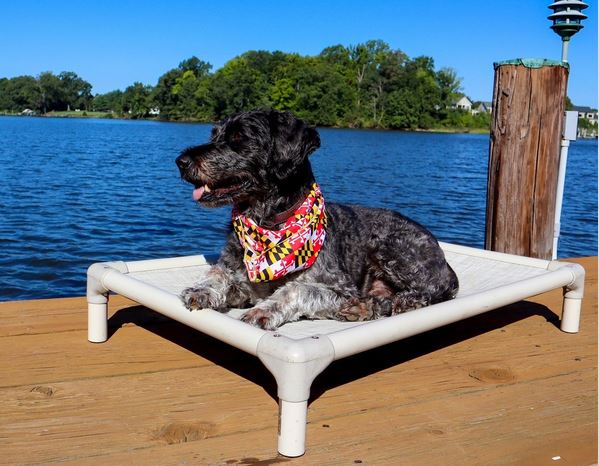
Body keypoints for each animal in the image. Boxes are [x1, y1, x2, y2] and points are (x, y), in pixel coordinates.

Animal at [176, 109, 458, 330]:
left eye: (238, 138)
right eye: (214, 135)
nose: (181, 161)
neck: (268, 225)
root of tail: (445, 263)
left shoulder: (341, 288)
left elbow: (296, 289)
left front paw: (263, 310)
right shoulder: (243, 282)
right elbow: (218, 272)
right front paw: (201, 290)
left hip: (393, 247)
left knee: (430, 292)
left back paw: (406, 301)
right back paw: (363, 308)